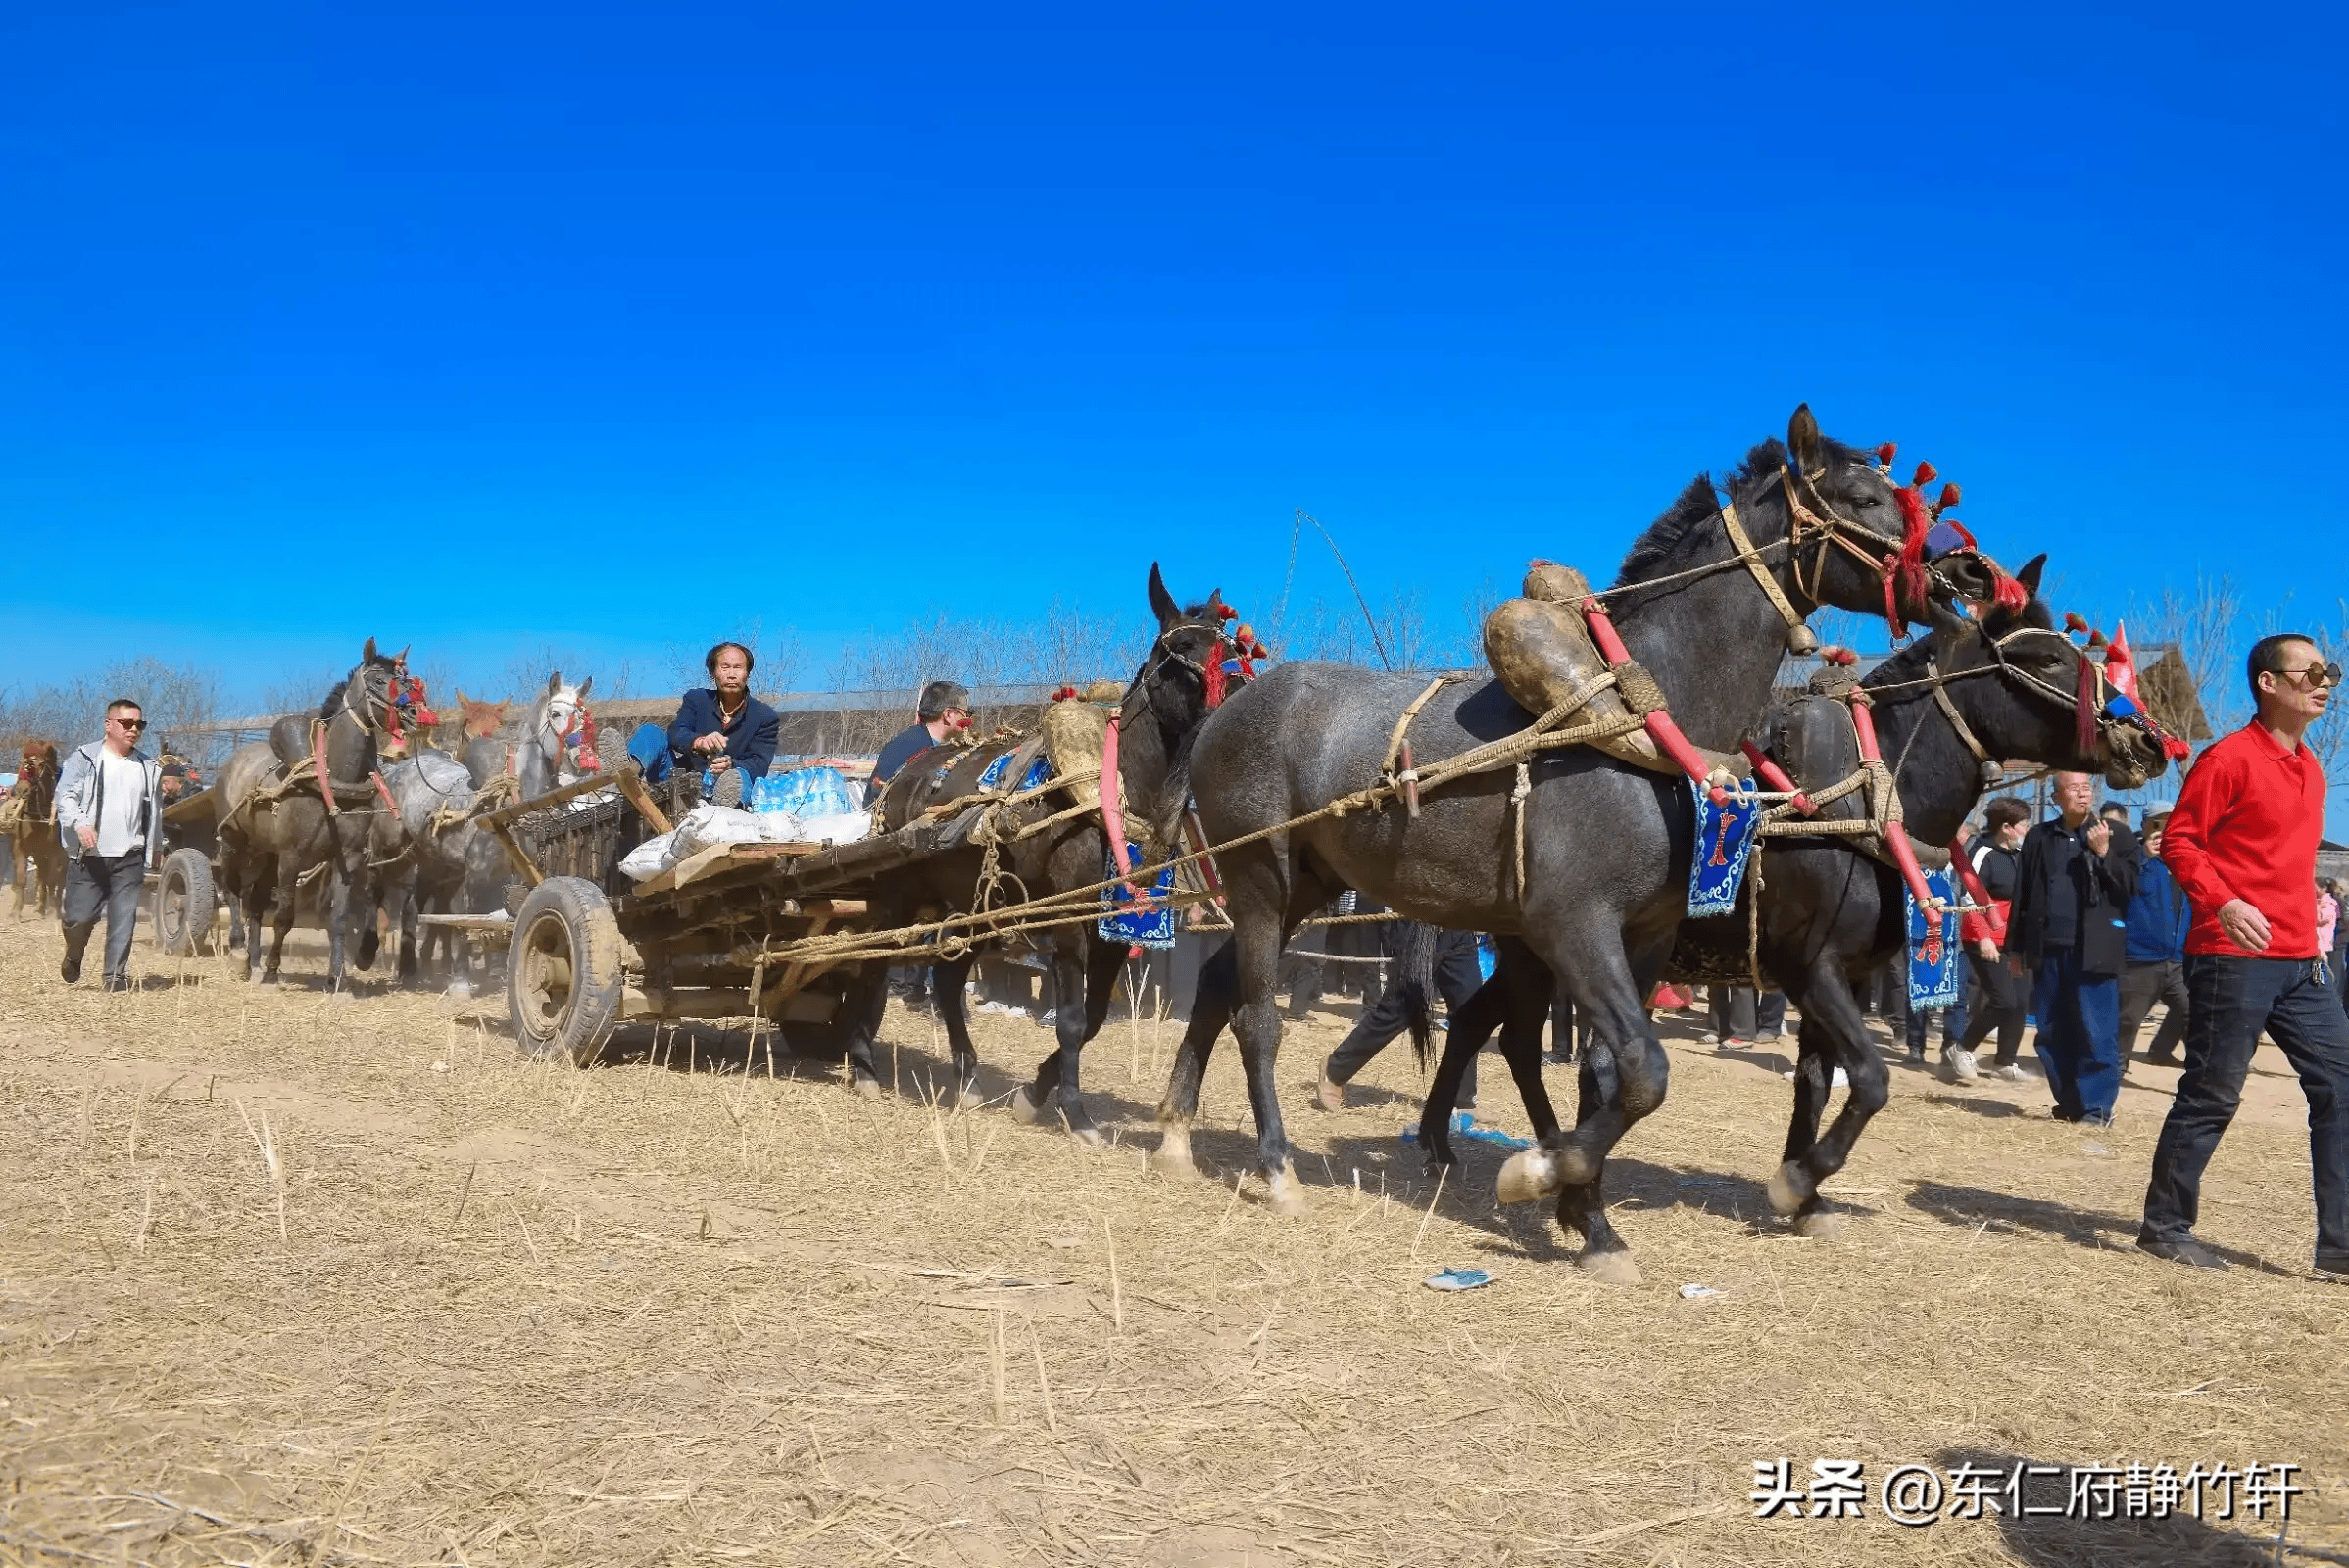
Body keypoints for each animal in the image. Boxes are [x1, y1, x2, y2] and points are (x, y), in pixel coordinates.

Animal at [1146, 408, 2010, 1276]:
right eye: (1864, 497)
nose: (1971, 577)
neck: (1636, 728)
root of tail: (1228, 709)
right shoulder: (1573, 924)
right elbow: (1645, 1070)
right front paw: (1539, 1173)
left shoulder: (1646, 938)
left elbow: (1608, 1072)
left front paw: (1587, 1218)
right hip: (1259, 876)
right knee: (1257, 1015)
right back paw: (1276, 1165)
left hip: (1309, 884)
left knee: (1219, 986)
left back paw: (1175, 1134)